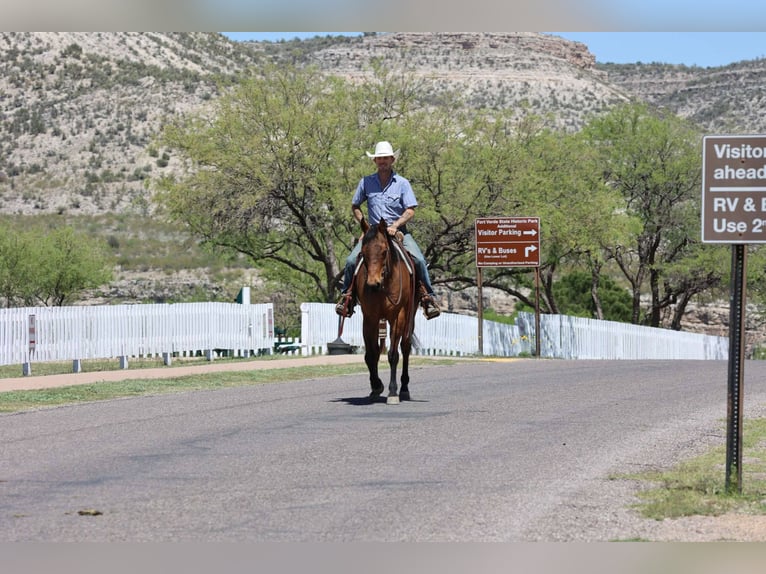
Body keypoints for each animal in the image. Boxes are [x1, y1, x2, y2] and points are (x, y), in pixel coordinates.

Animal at [354, 217, 418, 404]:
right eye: (363, 253)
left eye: (383, 252)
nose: (372, 283)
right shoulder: (370, 318)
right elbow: (371, 354)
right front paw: (376, 386)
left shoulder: (398, 317)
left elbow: (393, 355)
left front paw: (393, 392)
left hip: (410, 317)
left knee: (405, 347)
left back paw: (404, 389)